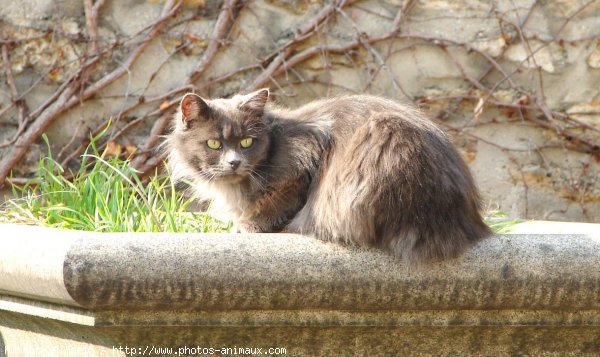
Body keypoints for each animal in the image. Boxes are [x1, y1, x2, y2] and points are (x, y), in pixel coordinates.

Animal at [168, 87, 492, 262]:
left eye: (247, 142)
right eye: (214, 144)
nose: (234, 162)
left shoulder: (305, 155)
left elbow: (279, 202)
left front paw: (247, 226)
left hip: (383, 139)